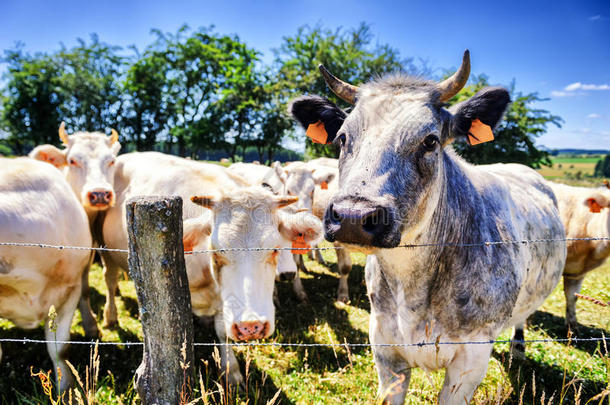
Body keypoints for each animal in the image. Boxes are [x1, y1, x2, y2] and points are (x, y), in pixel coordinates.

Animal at [29, 121, 121, 336]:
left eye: (111, 161)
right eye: (72, 161)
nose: (99, 194)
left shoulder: (87, 251)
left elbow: (84, 289)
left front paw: (90, 324)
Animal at [98, 151, 324, 382]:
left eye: (275, 249)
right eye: (217, 251)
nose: (251, 326)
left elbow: (223, 331)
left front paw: (232, 372)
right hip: (105, 250)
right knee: (110, 280)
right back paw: (110, 316)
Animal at [288, 51, 564, 404]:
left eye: (430, 140)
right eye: (342, 137)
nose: (353, 216)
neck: (413, 288)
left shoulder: (469, 363)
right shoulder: (385, 349)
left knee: (521, 319)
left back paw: (517, 349)